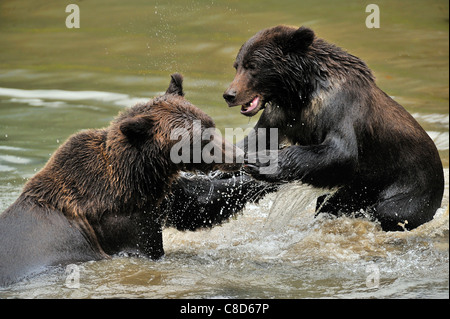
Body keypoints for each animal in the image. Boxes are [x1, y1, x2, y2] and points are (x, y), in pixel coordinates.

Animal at [0, 73, 246, 288]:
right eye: (199, 140)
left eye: (210, 125)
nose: (237, 156)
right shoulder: (124, 219)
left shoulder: (156, 194)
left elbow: (198, 205)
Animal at [223, 24, 444, 230]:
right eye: (237, 66)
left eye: (253, 65)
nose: (229, 94)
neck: (298, 94)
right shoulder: (280, 115)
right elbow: (254, 140)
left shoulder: (338, 106)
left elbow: (341, 152)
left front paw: (263, 161)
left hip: (410, 187)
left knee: (392, 211)